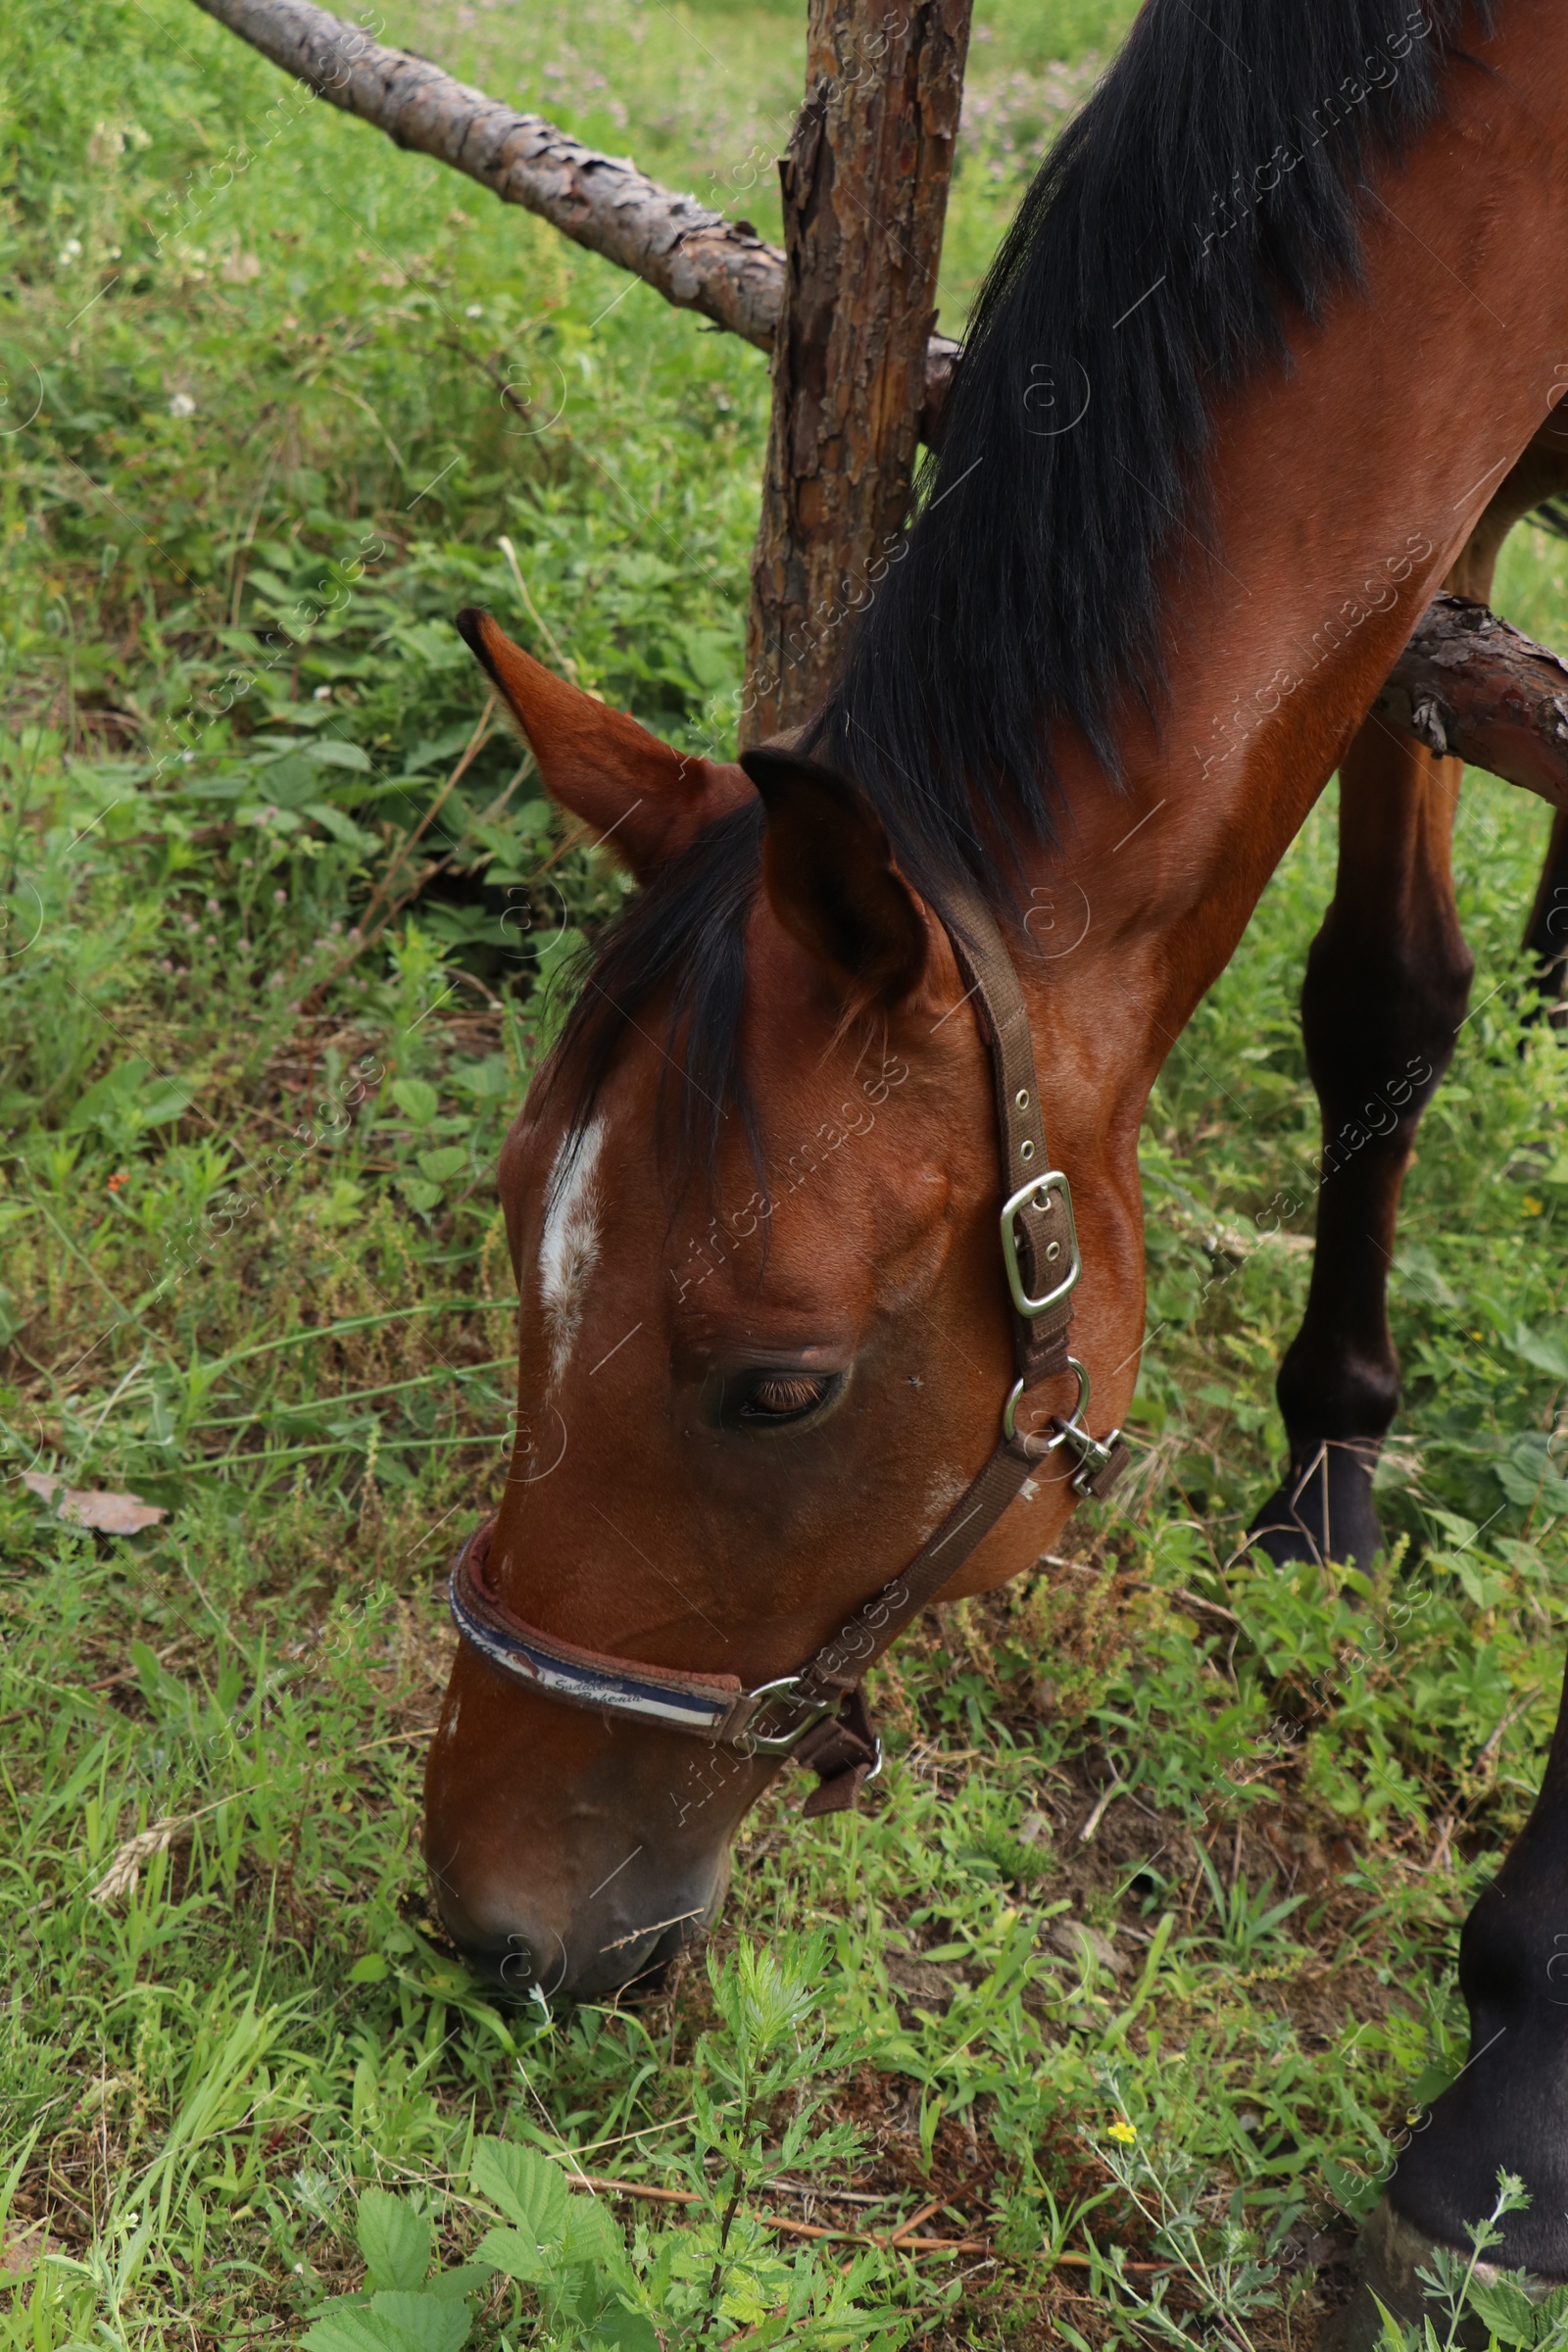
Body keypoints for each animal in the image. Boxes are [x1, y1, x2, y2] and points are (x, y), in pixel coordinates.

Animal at [422, 0, 1568, 2314]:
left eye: (781, 1386)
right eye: (513, 1242)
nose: (480, 1921)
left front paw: (1512, 2108)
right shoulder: (1451, 510)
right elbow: (1380, 995)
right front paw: (1330, 1458)